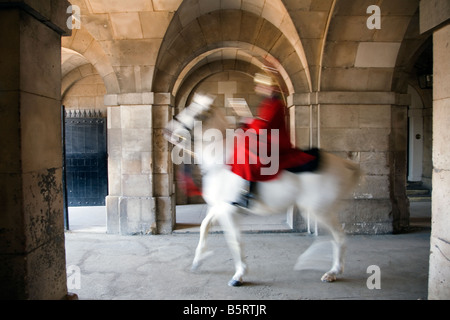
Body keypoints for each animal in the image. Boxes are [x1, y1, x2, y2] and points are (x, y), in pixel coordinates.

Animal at [165, 94, 362, 286]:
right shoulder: (219, 207)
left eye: (197, 114)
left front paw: (239, 274)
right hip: (316, 210)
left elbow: (235, 240)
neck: (220, 160)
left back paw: (332, 271)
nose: (167, 132)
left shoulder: (228, 210)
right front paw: (198, 260)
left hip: (318, 210)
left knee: (338, 237)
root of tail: (342, 163)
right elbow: (205, 227)